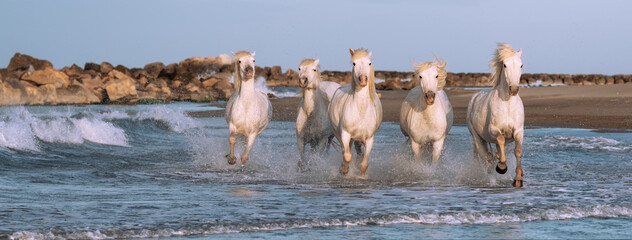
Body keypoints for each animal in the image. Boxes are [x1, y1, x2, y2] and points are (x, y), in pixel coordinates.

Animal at [328, 48, 382, 176]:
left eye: (369, 63)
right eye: (354, 63)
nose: (363, 80)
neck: (360, 110)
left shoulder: (369, 139)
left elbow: (364, 164)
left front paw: (361, 176)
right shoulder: (345, 134)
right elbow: (347, 156)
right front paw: (344, 170)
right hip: (339, 134)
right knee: (344, 150)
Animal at [466, 43, 524, 188]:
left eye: (521, 65)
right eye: (505, 65)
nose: (514, 89)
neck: (508, 104)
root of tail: (475, 96)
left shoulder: (518, 131)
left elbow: (518, 151)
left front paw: (518, 178)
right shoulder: (494, 130)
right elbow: (501, 140)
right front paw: (502, 167)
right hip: (478, 138)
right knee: (487, 159)